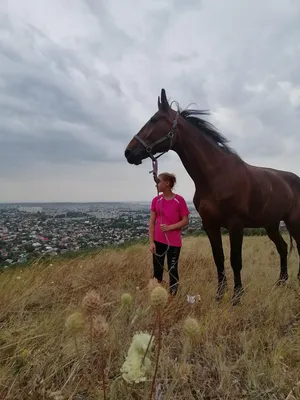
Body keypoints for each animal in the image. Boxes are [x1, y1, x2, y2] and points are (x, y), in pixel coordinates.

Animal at [123, 88, 300, 306]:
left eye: (154, 119)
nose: (129, 152)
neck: (217, 175)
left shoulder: (235, 225)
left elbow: (235, 260)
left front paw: (236, 297)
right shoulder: (210, 225)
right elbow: (219, 258)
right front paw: (219, 294)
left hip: (293, 222)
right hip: (271, 225)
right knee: (283, 247)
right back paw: (280, 283)